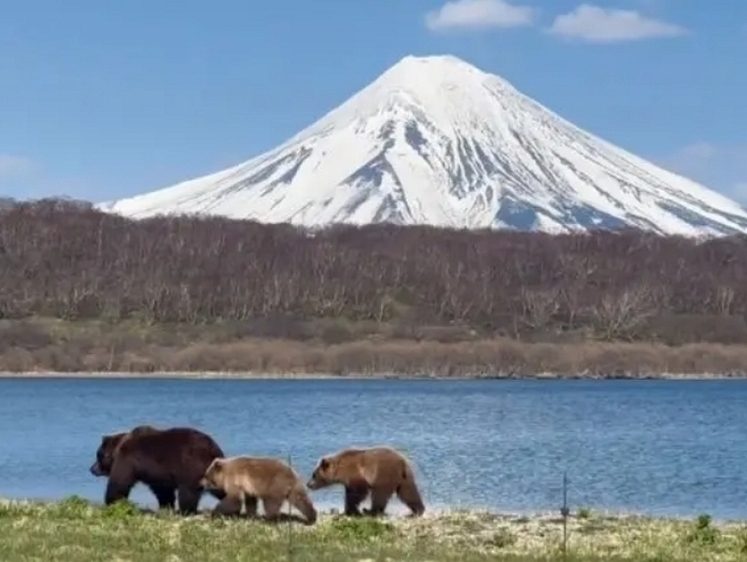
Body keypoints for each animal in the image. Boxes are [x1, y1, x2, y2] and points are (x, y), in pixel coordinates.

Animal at [90, 424, 226, 512]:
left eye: (98, 455)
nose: (92, 469)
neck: (118, 447)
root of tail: (212, 448)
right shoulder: (159, 474)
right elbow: (163, 491)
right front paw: (166, 506)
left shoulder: (128, 460)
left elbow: (119, 483)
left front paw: (112, 502)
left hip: (190, 467)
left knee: (187, 492)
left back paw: (186, 511)